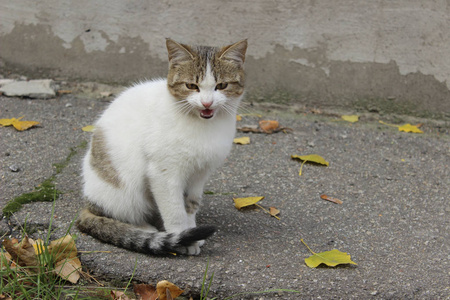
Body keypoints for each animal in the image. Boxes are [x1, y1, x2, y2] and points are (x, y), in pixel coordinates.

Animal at [76, 38, 246, 255]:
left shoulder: (199, 174)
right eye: (191, 86)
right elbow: (174, 210)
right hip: (125, 191)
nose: (207, 103)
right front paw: (182, 238)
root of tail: (89, 203)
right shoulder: (163, 173)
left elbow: (190, 205)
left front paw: (191, 230)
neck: (202, 126)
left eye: (222, 85)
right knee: (119, 215)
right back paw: (146, 231)